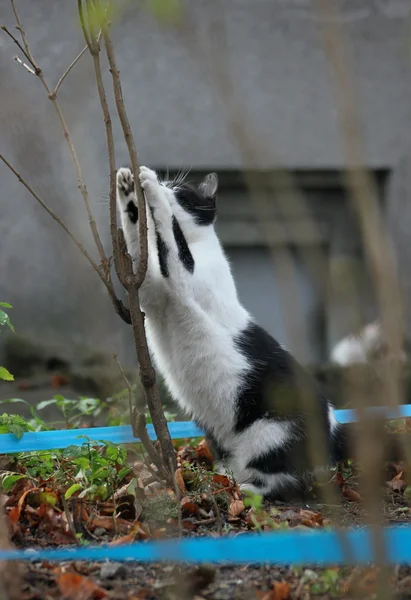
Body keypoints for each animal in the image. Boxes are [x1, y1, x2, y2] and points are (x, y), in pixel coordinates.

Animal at [116, 164, 348, 496]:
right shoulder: (149, 288)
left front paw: (149, 185)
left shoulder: (184, 276)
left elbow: (172, 238)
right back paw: (223, 481)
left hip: (271, 432)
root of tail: (335, 428)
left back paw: (247, 491)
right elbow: (140, 250)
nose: (163, 184)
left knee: (282, 480)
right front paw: (127, 190)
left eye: (180, 191)